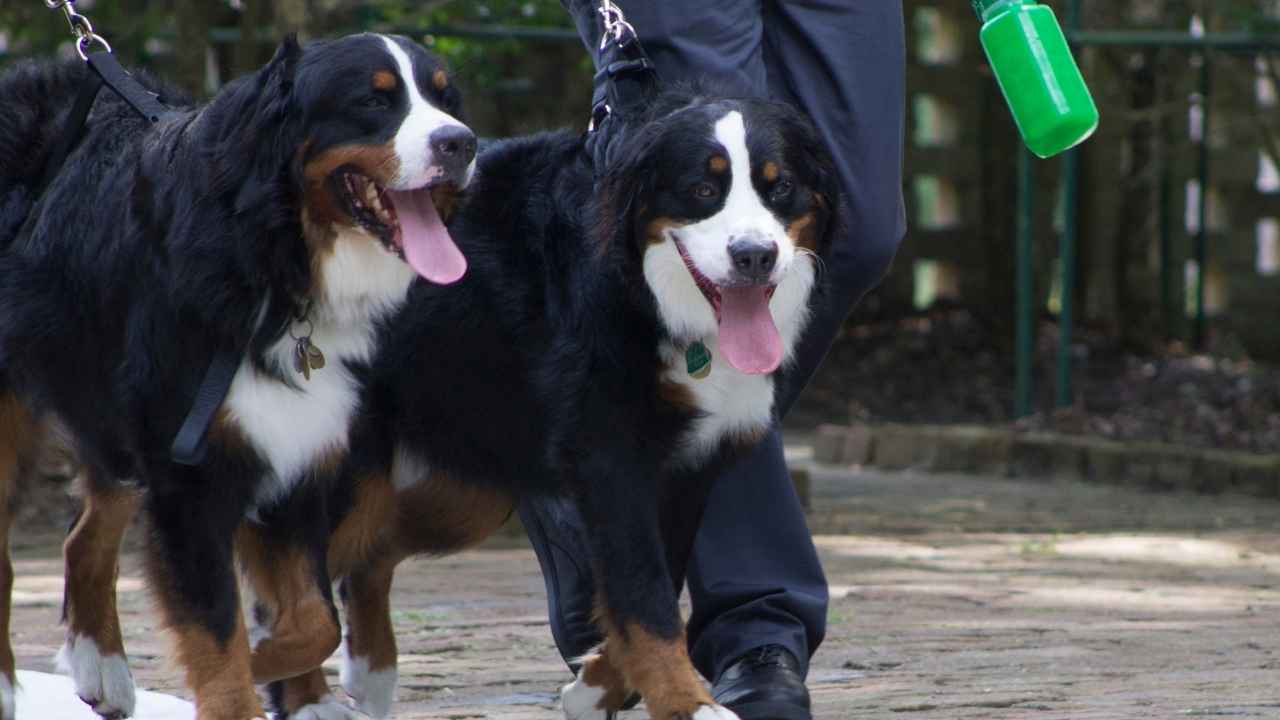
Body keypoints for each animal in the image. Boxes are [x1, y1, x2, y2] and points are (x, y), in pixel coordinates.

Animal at [0, 30, 478, 712]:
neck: (274, 260)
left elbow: (315, 618)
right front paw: (241, 681)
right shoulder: (191, 473)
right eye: (372, 101)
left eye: (444, 97)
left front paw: (272, 665)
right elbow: (218, 630)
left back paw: (103, 669)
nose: (461, 143)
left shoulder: (293, 453)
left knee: (87, 535)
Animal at [245, 85, 844, 717]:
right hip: (350, 461)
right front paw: (688, 702)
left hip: (465, 476)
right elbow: (646, 597)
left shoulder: (690, 468)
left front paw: (598, 687)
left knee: (365, 558)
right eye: (703, 190)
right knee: (294, 585)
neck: (647, 293)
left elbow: (654, 581)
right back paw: (307, 698)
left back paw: (371, 675)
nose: (753, 255)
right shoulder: (612, 457)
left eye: (780, 187)